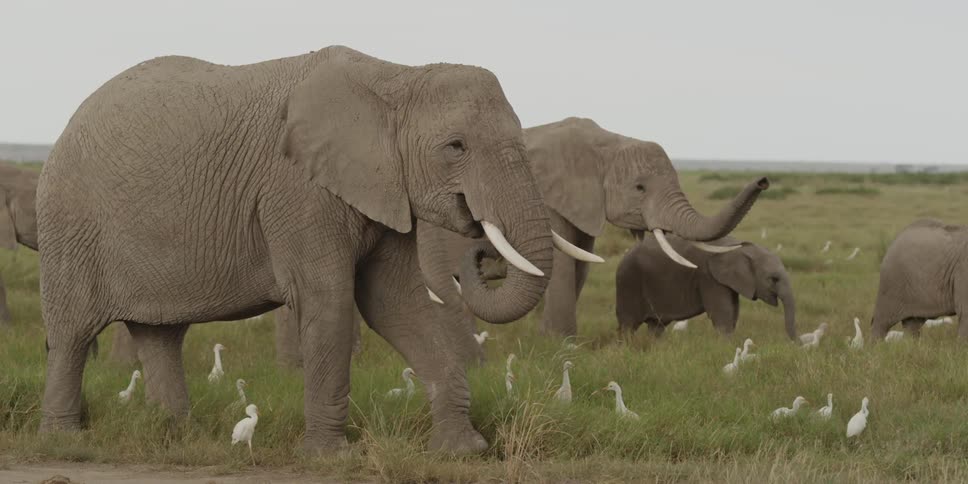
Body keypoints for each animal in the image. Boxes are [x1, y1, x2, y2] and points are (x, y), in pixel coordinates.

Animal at [37, 45, 563, 454]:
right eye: (456, 147)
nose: (483, 255)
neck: (396, 76)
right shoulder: (298, 189)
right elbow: (330, 300)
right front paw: (332, 457)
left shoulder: (384, 188)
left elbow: (395, 303)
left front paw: (464, 451)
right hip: (70, 222)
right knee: (72, 331)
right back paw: (65, 441)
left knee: (161, 334)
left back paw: (177, 436)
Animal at [615, 234, 798, 340]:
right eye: (773, 279)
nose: (799, 345)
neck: (739, 248)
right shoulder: (709, 277)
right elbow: (723, 314)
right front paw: (726, 347)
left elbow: (733, 312)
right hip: (628, 283)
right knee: (628, 325)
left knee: (656, 326)